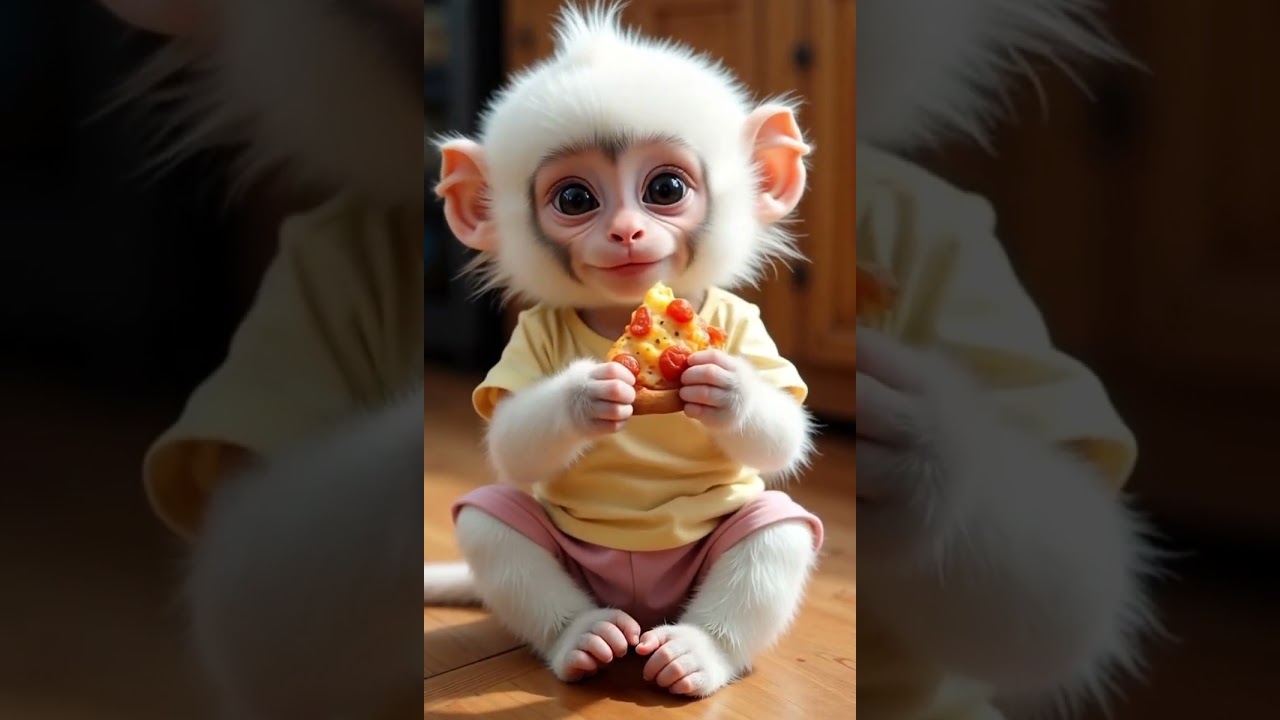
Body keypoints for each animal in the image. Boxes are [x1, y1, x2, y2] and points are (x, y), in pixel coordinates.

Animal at [422, 2, 826, 698]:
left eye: (665, 189)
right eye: (575, 198)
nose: (626, 232)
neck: (622, 310)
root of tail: (644, 608)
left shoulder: (746, 327)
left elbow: (781, 430)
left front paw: (727, 387)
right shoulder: (524, 341)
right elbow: (512, 440)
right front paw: (587, 392)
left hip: (743, 545)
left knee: (775, 531)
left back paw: (696, 654)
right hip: (544, 553)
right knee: (493, 522)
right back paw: (584, 638)